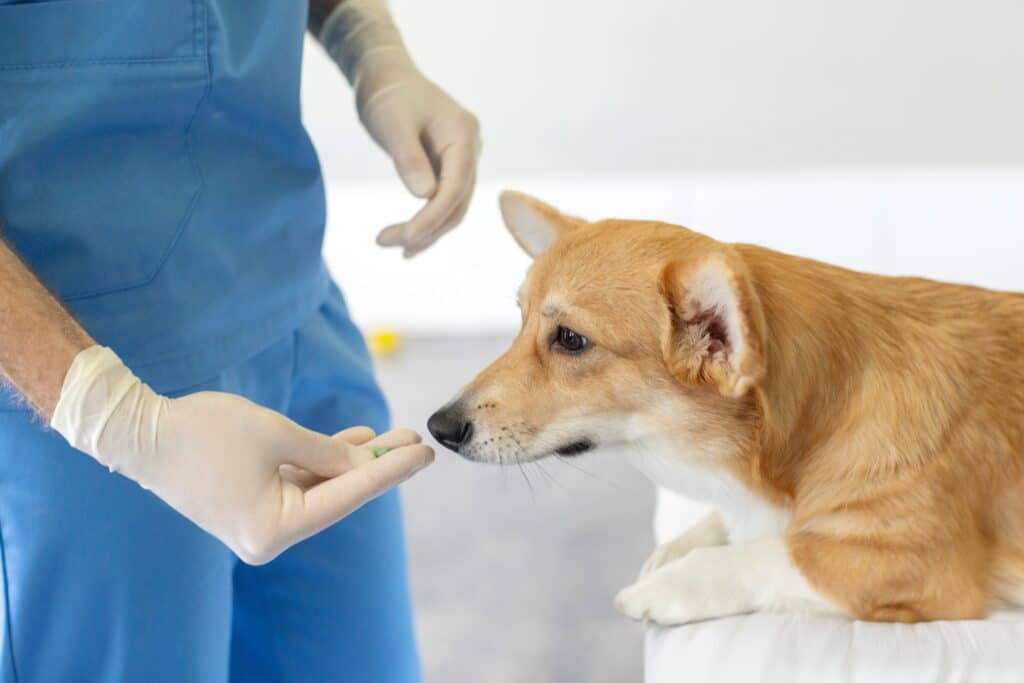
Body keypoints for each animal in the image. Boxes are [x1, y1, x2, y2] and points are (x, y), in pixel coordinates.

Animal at [428, 191, 1024, 626]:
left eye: (571, 339)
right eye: (520, 321)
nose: (438, 428)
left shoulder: (915, 564)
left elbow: (769, 554)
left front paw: (668, 584)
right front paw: (676, 549)